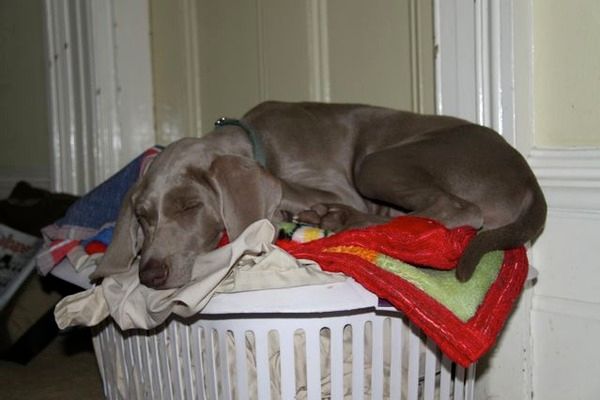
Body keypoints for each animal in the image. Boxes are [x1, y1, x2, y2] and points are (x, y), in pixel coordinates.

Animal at [90, 101, 546, 289]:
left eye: (190, 206)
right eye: (143, 216)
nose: (150, 275)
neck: (257, 140)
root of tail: (528, 179)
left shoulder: (336, 184)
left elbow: (290, 188)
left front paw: (297, 212)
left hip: (377, 163)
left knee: (456, 211)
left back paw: (337, 220)